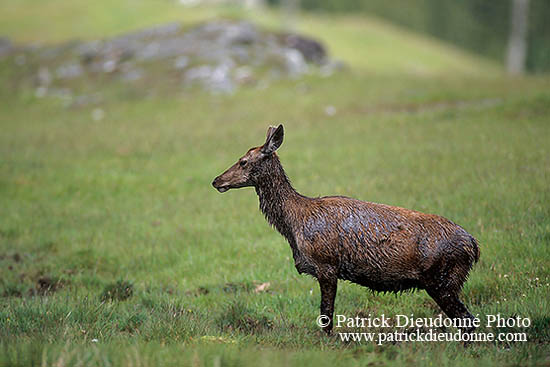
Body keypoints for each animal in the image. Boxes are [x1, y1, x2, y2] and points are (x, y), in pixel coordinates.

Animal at [213, 125, 480, 334]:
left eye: (243, 161)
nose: (216, 180)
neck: (294, 224)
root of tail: (474, 246)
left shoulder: (327, 265)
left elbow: (326, 316)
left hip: (442, 279)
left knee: (468, 321)